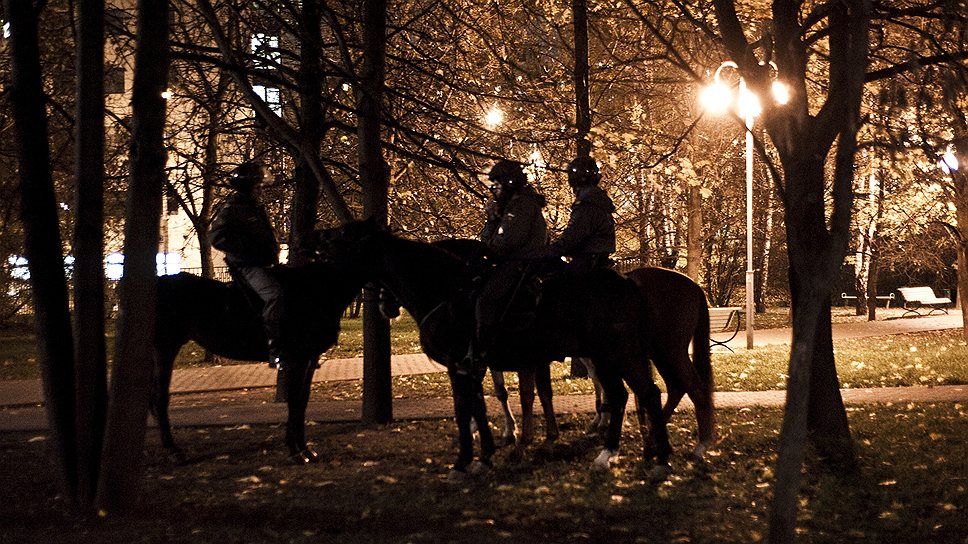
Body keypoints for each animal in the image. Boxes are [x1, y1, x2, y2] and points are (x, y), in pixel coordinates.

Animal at [153, 260, 364, 464]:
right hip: (165, 349)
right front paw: (296, 451)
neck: (317, 290)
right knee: (160, 398)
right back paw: (174, 451)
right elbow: (294, 401)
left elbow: (302, 401)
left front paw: (306, 450)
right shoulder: (297, 359)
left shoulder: (310, 359)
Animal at [322, 219, 668, 478]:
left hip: (616, 354)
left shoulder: (464, 364)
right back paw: (622, 453)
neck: (449, 290)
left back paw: (648, 456)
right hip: (608, 356)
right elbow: (481, 404)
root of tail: (626, 281)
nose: (385, 307)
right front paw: (485, 451)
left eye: (345, 239)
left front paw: (474, 457)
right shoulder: (474, 366)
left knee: (639, 394)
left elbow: (472, 407)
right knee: (628, 394)